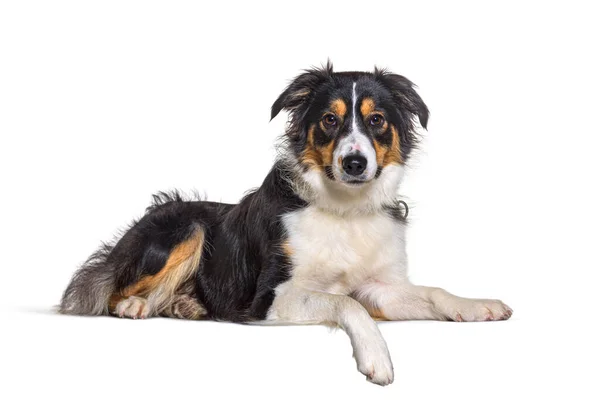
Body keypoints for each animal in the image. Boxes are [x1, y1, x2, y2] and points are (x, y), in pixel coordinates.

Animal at [59, 62, 510, 384]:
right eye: (330, 119)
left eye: (377, 119)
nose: (354, 162)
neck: (344, 210)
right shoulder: (270, 297)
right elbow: (342, 301)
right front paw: (376, 356)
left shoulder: (377, 288)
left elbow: (431, 293)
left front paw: (476, 305)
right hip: (187, 228)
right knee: (108, 286)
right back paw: (136, 304)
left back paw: (183, 304)